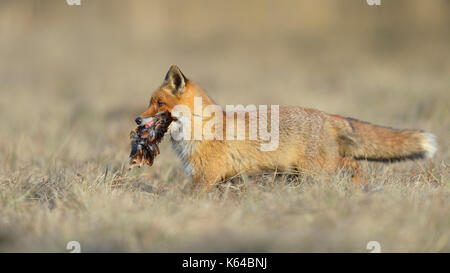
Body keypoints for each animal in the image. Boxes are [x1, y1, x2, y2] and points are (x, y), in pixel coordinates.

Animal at [135, 65, 438, 186]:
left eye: (159, 104)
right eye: (149, 103)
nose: (138, 120)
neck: (200, 128)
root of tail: (324, 114)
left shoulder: (205, 177)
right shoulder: (222, 178)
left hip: (316, 169)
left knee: (352, 162)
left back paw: (358, 186)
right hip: (301, 171)